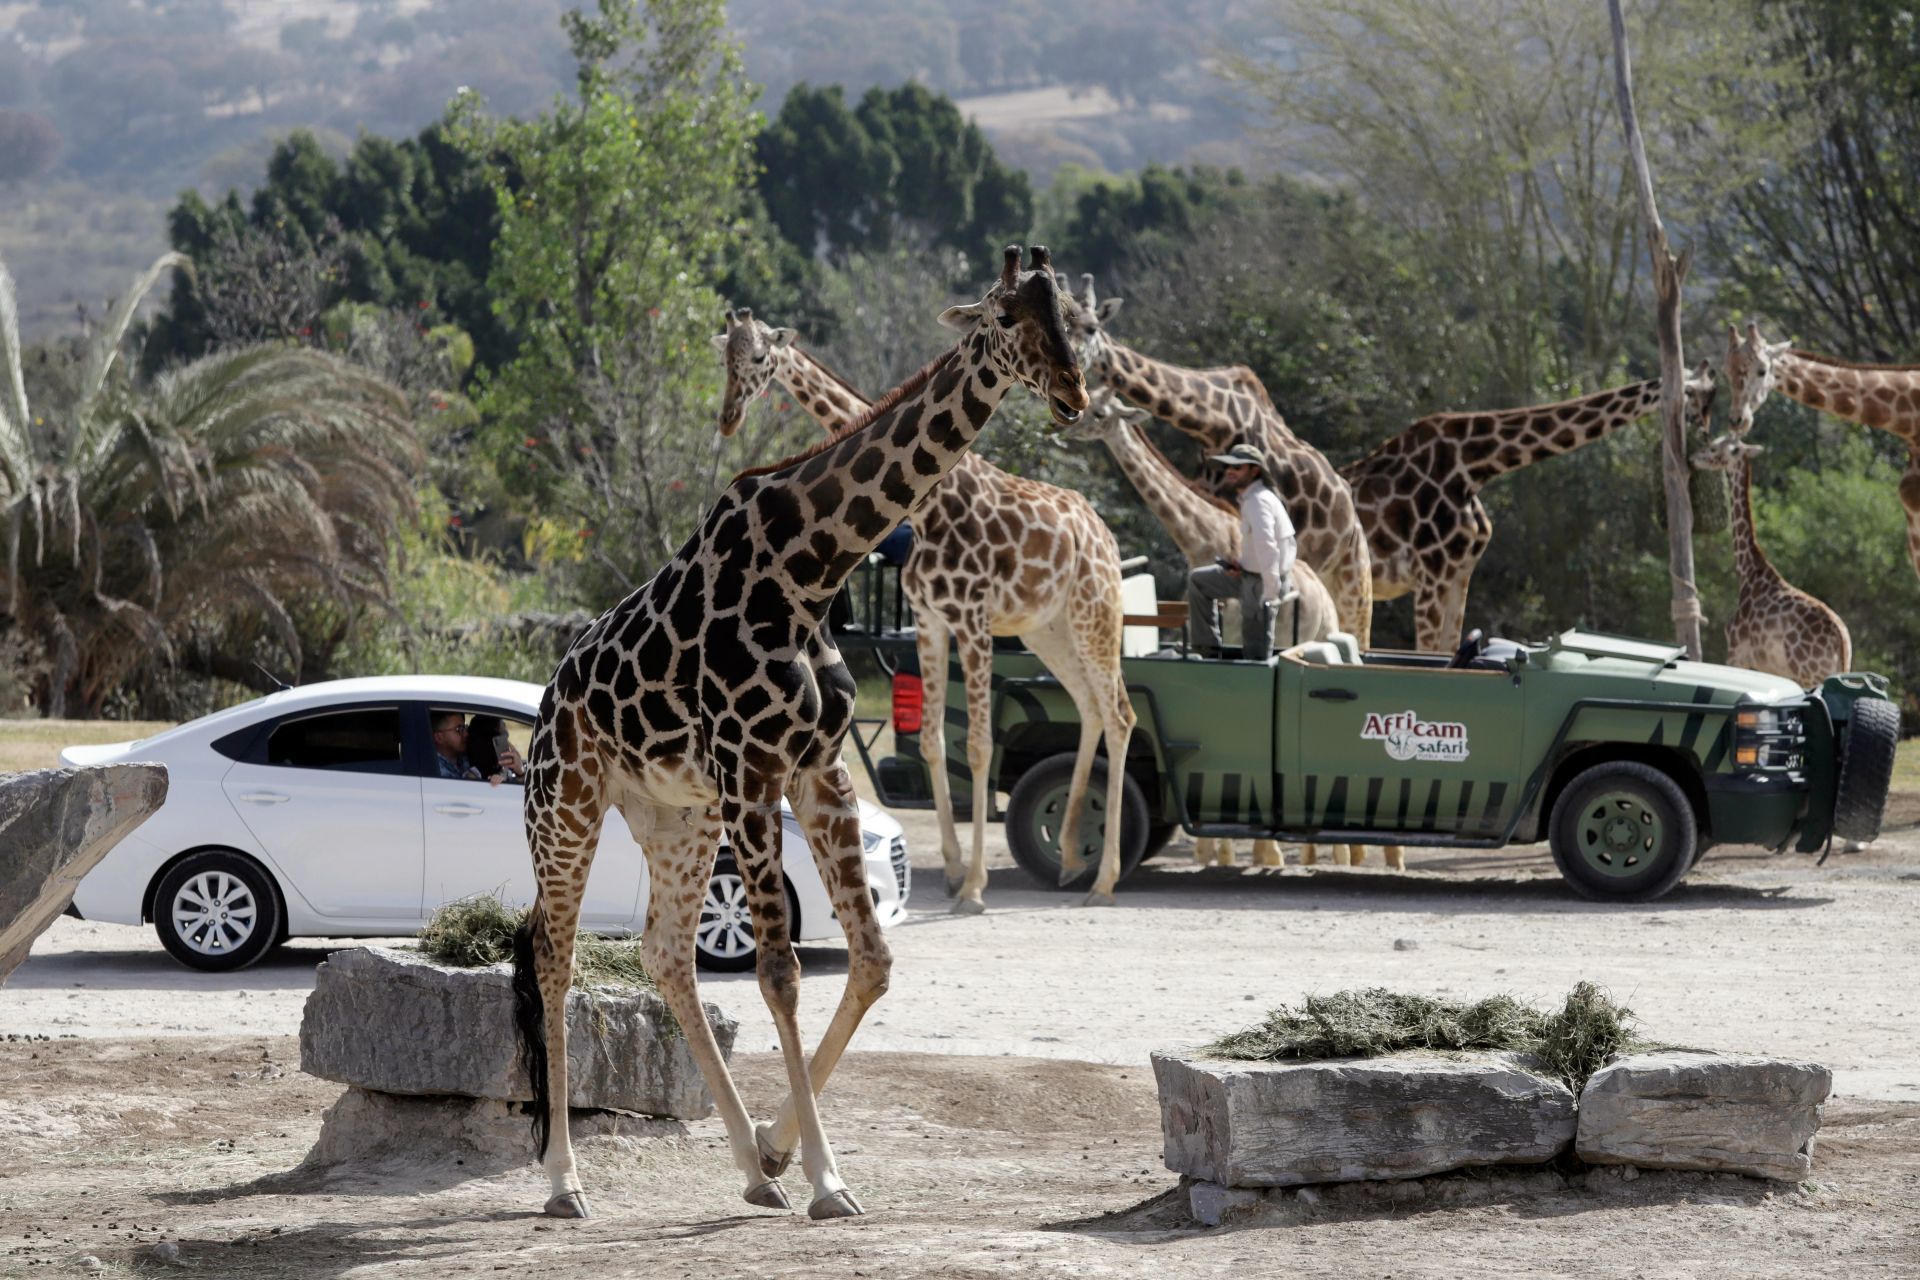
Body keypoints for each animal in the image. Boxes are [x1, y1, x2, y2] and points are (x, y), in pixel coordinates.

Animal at [518, 245, 1090, 1220]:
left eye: (1070, 318)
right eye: (1006, 318)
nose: (1073, 393)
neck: (812, 565)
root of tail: (548, 702)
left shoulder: (817, 768)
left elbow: (874, 959)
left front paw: (785, 1152)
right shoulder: (754, 768)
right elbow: (781, 970)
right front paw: (826, 1179)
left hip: (677, 815)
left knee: (665, 954)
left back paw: (750, 1170)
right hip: (570, 806)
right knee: (554, 954)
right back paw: (564, 1183)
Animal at [721, 307, 1136, 909]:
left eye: (757, 358)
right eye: (723, 357)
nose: (728, 418)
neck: (929, 505)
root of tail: (1103, 533)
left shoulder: (973, 618)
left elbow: (979, 747)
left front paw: (976, 887)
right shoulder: (930, 619)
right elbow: (933, 742)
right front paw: (955, 870)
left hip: (1094, 615)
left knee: (1120, 714)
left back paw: (1103, 881)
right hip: (1047, 629)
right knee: (1088, 706)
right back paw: (1069, 859)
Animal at [1697, 435, 1843, 687]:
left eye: (1714, 447)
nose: (1694, 457)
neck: (1747, 570)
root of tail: (1843, 641)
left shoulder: (1736, 651)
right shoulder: (1769, 667)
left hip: (1808, 674)